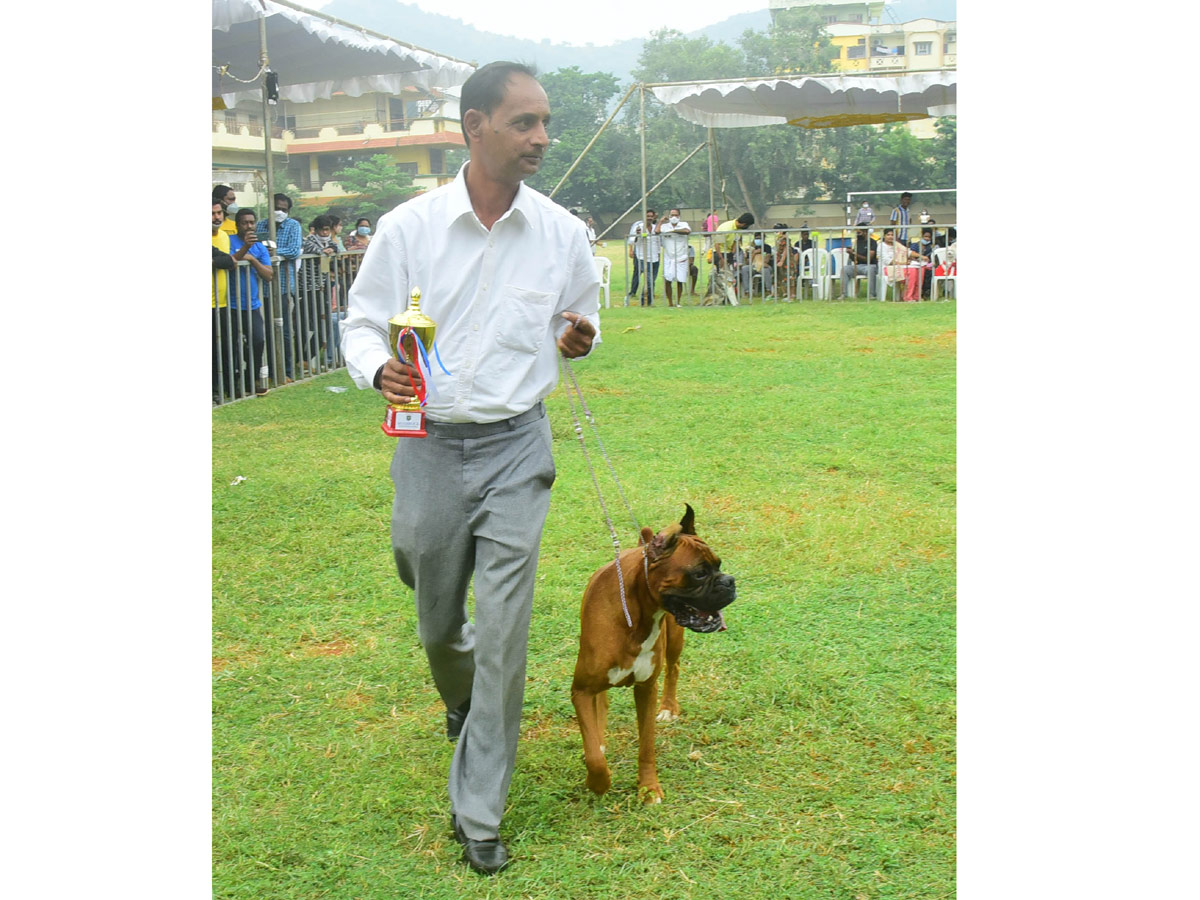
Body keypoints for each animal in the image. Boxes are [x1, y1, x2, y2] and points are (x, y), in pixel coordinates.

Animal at [568, 504, 729, 806]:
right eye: (699, 573)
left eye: (719, 565)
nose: (730, 581)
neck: (636, 616)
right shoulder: (581, 690)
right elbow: (594, 755)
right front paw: (598, 782)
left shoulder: (646, 689)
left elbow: (646, 745)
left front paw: (648, 788)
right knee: (602, 702)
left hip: (674, 642)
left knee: (674, 669)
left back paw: (668, 708)